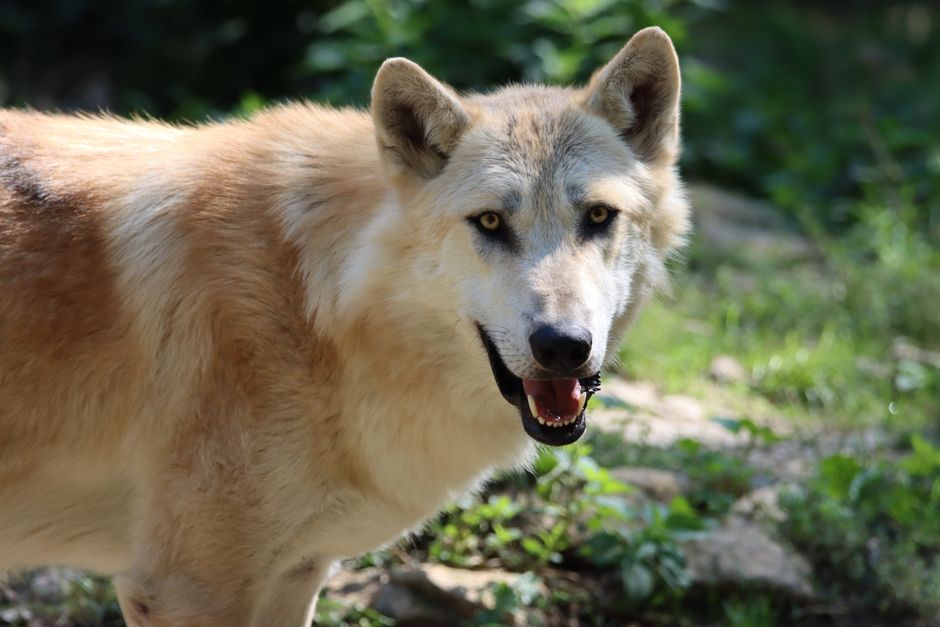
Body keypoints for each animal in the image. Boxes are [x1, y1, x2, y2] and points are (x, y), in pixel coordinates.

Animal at [0, 27, 688, 626]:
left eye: (597, 216)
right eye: (490, 222)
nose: (563, 347)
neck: (314, 305)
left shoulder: (293, 574)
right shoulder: (187, 590)